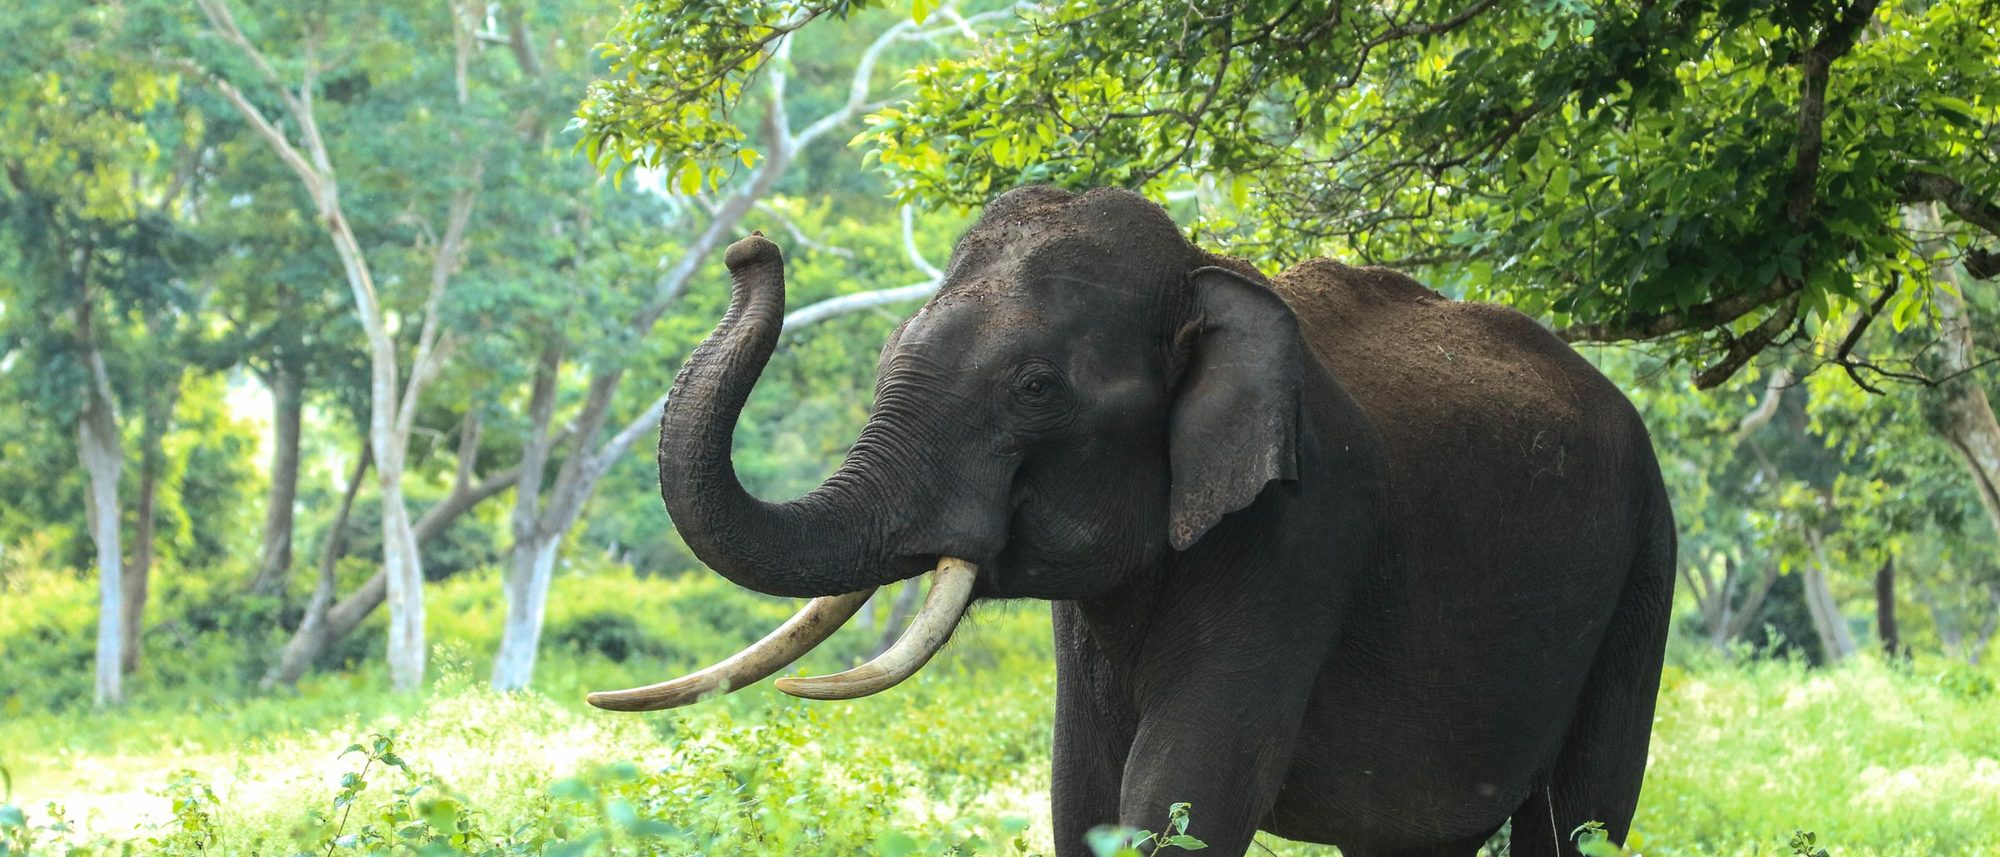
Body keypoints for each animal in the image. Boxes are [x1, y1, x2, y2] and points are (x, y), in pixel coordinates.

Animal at [589, 186, 1676, 857]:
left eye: (1033, 388)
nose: (750, 245)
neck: (1207, 270)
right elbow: (1083, 796)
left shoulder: (1299, 537)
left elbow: (1180, 795)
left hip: (1644, 570)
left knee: (1577, 820)